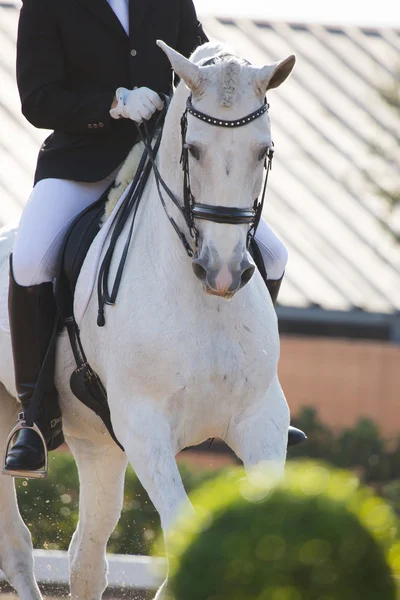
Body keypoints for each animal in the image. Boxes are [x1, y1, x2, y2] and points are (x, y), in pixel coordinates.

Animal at [0, 41, 294, 600]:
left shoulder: (260, 419)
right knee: (17, 545)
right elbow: (184, 531)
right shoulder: (143, 426)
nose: (224, 271)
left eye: (264, 151)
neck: (204, 304)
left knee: (86, 555)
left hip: (97, 443)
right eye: (193, 150)